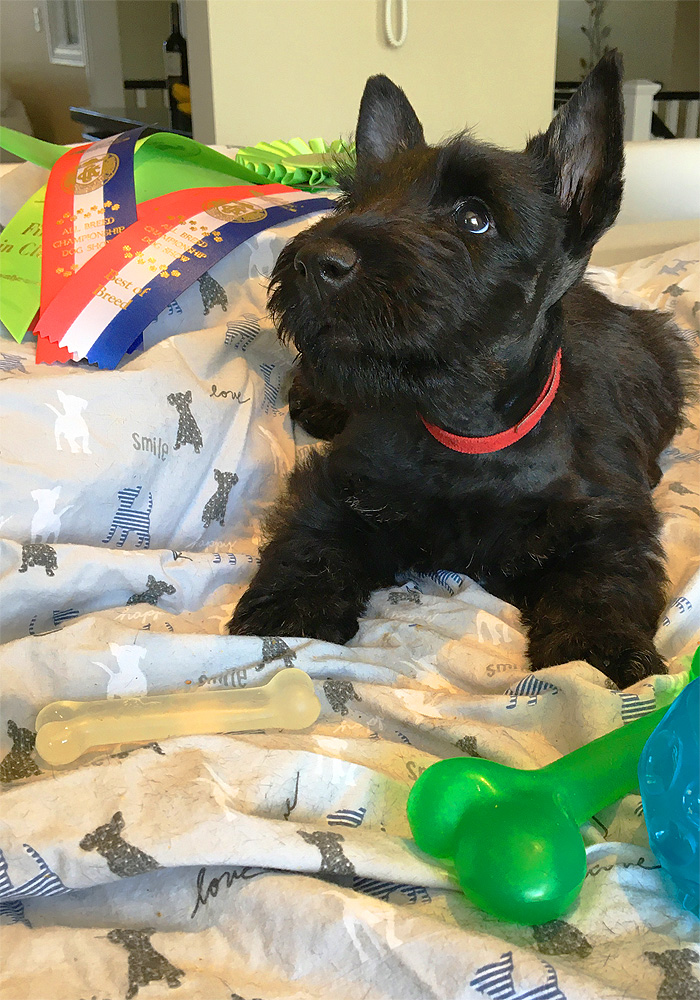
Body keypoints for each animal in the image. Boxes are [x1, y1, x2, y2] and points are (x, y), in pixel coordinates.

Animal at [228, 53, 695, 687]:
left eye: (475, 218)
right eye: (352, 202)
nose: (314, 262)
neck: (463, 427)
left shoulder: (608, 516)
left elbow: (600, 581)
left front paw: (601, 654)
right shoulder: (343, 482)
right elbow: (313, 537)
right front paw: (284, 610)